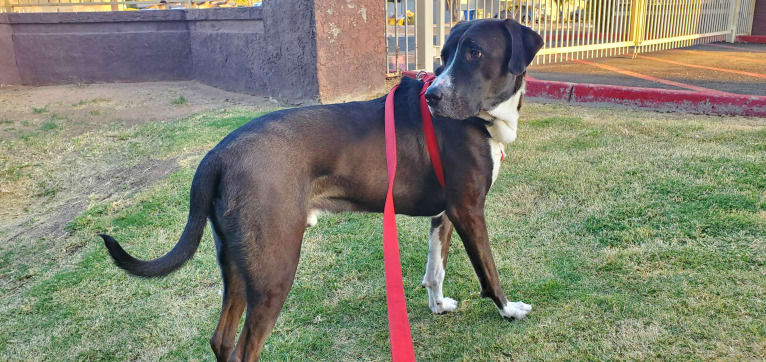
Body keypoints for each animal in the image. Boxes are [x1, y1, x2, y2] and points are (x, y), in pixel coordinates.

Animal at [102, 19, 544, 362]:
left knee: (222, 340)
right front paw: (509, 310)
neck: (481, 121)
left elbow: (435, 269)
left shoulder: (445, 214)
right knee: (245, 348)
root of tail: (218, 153)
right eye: (446, 55)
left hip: (239, 264)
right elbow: (489, 272)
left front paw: (437, 306)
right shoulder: (469, 211)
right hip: (275, 267)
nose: (434, 95)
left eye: (473, 53)